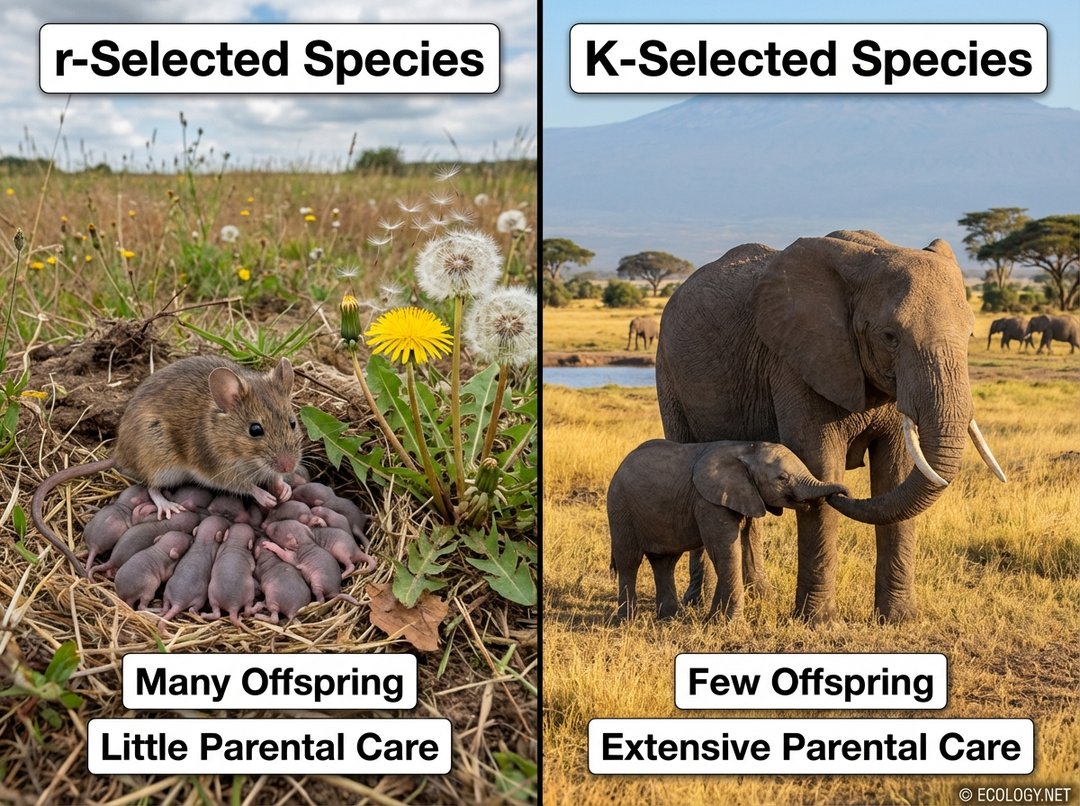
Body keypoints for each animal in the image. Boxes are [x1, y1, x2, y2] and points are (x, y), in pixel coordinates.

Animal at [608, 439, 848, 621]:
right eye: (782, 478)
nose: (843, 492)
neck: (746, 449)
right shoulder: (708, 502)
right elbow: (725, 551)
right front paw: (731, 623)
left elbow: (735, 548)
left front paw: (715, 619)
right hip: (620, 507)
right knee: (629, 560)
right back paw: (627, 620)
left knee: (665, 562)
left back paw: (670, 617)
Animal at [656, 230, 1006, 624]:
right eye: (890, 336)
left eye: (970, 333)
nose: (845, 492)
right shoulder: (796, 362)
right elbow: (820, 465)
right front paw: (820, 623)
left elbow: (897, 474)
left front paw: (900, 619)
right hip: (667, 371)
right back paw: (697, 602)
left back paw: (759, 594)